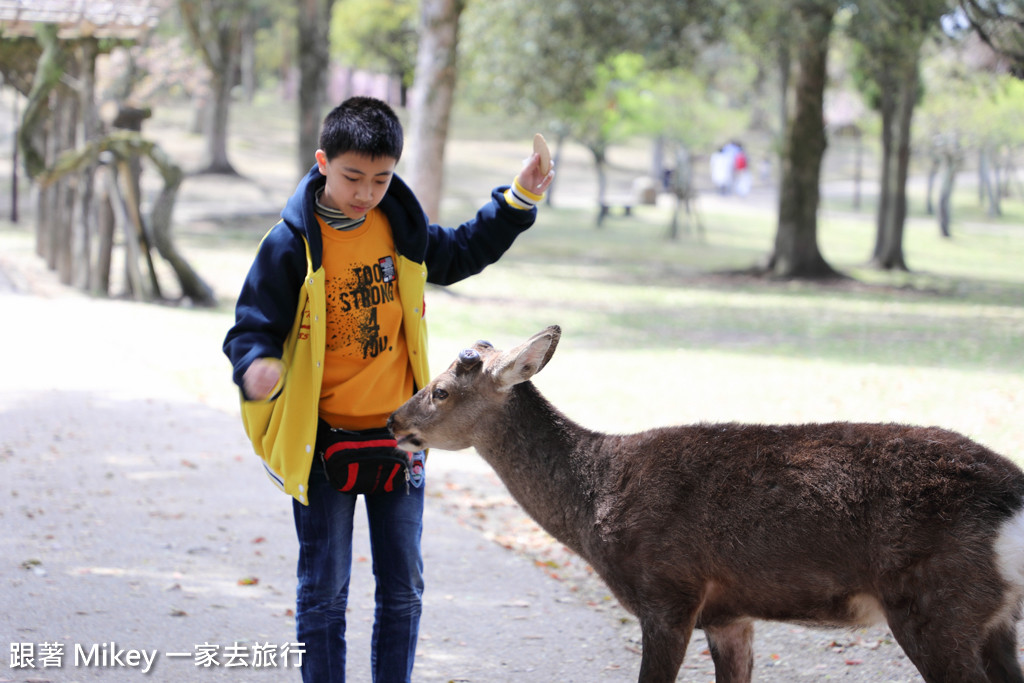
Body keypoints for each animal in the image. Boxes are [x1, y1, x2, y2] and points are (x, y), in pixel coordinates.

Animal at [387, 325, 1024, 683]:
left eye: (440, 390)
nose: (393, 421)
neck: (594, 502)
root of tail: (1011, 500)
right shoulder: (729, 613)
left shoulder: (668, 593)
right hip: (992, 618)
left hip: (934, 604)